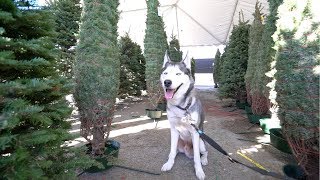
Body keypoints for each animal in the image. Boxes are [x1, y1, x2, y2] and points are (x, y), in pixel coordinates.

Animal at [160, 51, 208, 180]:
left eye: (178, 74)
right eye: (165, 73)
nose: (167, 82)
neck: (181, 106)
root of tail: (186, 149)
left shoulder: (195, 133)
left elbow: (196, 157)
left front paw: (199, 171)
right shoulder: (173, 129)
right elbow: (172, 151)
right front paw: (169, 164)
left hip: (201, 142)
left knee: (204, 152)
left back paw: (204, 160)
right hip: (177, 141)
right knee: (174, 150)